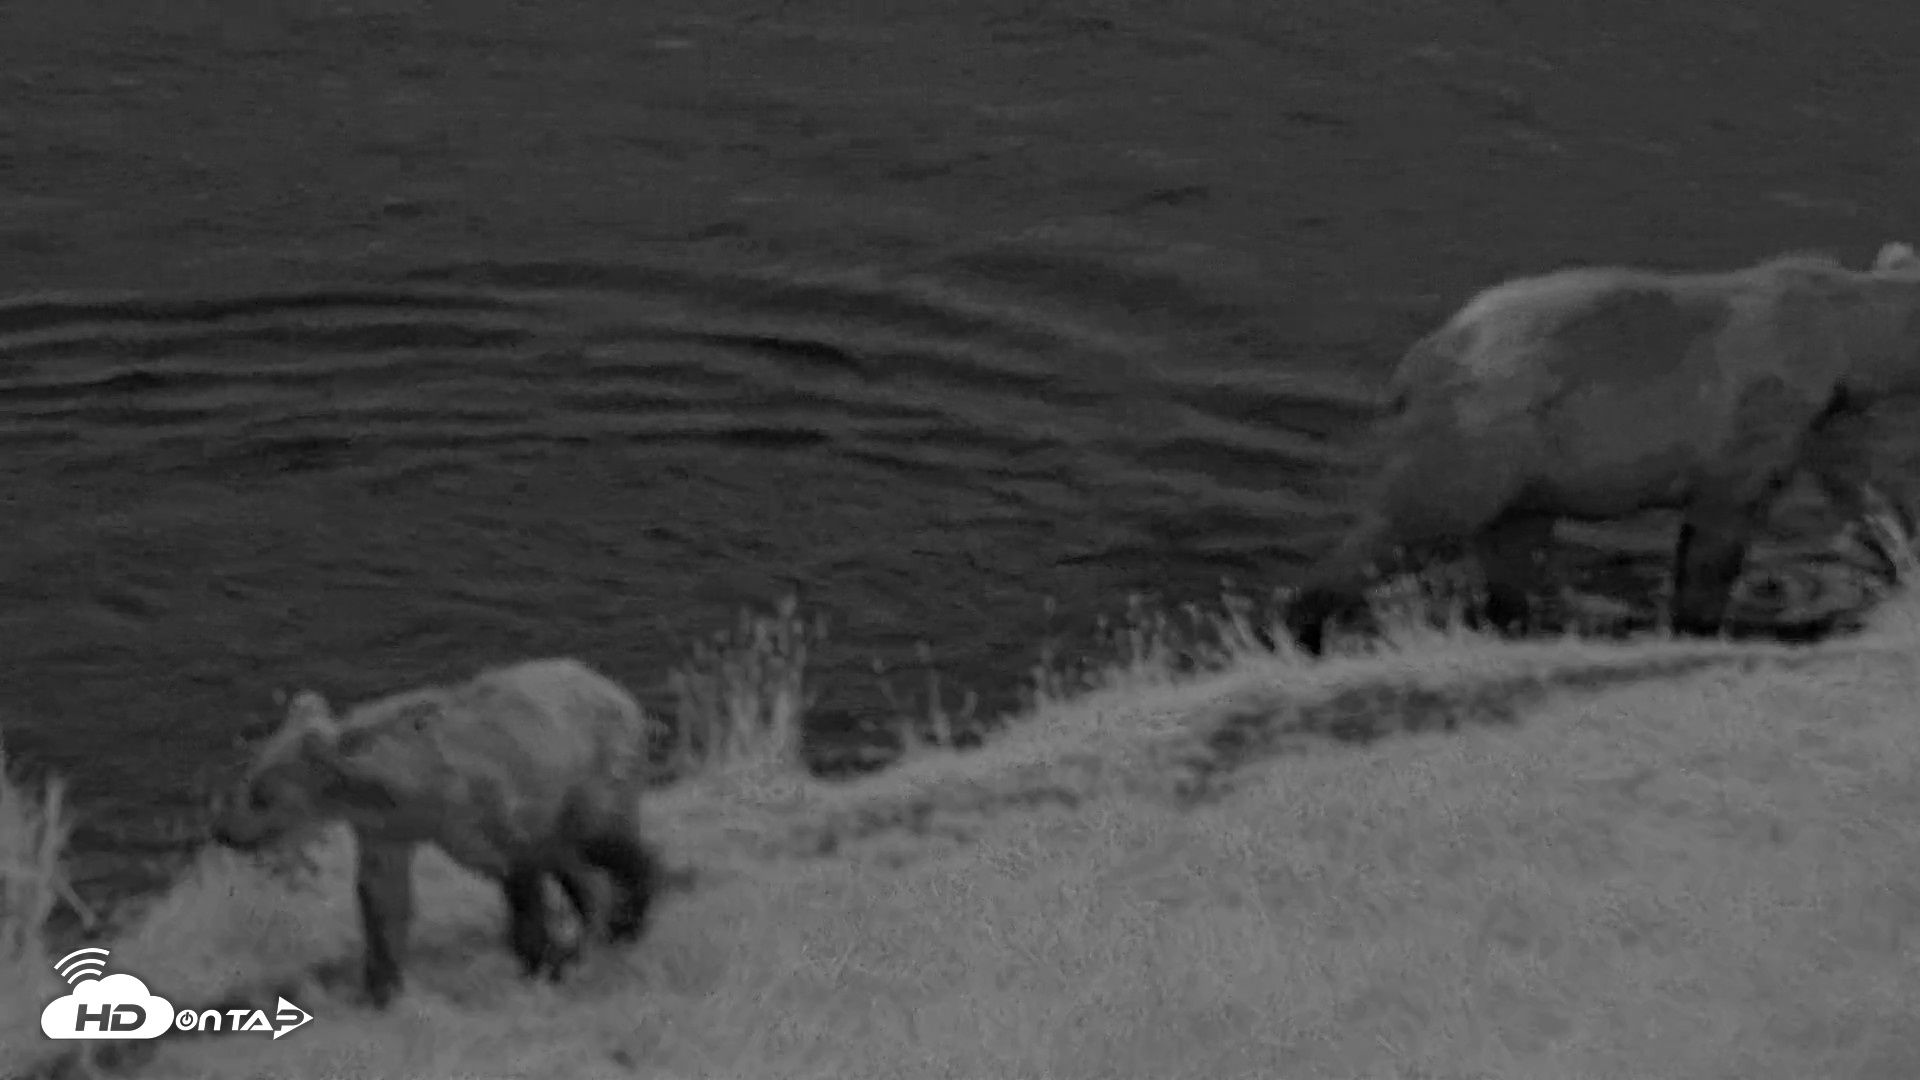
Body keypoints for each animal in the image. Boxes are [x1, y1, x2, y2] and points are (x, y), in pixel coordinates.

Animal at [210, 657, 664, 1009]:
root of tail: (615, 688)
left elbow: (518, 875)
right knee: (575, 863)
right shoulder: (386, 830)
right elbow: (383, 895)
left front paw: (537, 960)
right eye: (247, 780)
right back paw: (592, 928)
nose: (224, 831)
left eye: (262, 795)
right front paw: (381, 987)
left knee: (606, 842)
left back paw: (626, 921)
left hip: (591, 773)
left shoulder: (485, 806)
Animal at [1283, 241, 1920, 656]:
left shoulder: (1824, 415)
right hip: (1486, 433)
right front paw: (1697, 622)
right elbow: (1721, 523)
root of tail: (1417, 362)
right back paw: (1305, 620)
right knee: (1415, 521)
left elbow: (1861, 488)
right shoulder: (1762, 406)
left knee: (1513, 544)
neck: (1842, 327)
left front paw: (1901, 556)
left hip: (1527, 466)